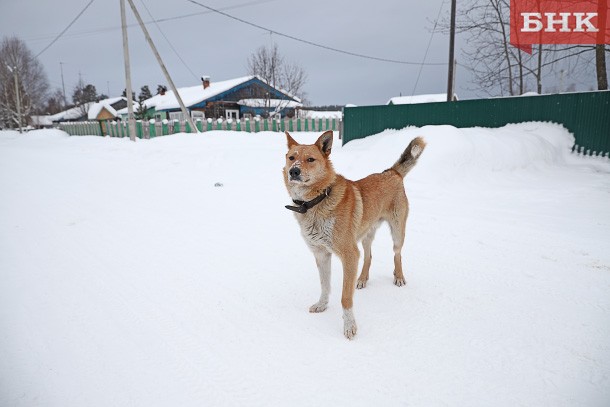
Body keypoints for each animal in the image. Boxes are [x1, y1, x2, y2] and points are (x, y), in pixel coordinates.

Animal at [282, 131, 426, 342]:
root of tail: (392, 172)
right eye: (291, 158)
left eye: (310, 159)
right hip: (365, 235)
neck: (317, 201)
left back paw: (398, 276)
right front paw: (322, 305)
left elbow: (345, 297)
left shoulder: (349, 255)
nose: (294, 171)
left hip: (397, 232)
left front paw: (349, 327)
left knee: (397, 254)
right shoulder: (321, 254)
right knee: (368, 256)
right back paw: (362, 279)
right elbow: (325, 285)